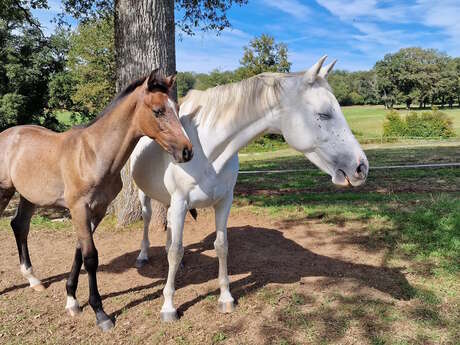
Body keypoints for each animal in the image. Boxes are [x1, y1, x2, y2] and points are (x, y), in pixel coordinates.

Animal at [0, 70, 192, 330]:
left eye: (177, 107)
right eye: (158, 111)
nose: (186, 151)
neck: (93, 154)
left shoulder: (97, 210)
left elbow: (79, 251)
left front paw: (72, 300)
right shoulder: (79, 208)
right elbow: (90, 257)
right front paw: (100, 313)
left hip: (29, 196)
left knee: (20, 226)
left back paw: (33, 279)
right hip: (4, 191)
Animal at [130, 56, 370, 320]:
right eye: (324, 114)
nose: (361, 167)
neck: (206, 150)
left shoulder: (223, 201)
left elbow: (221, 247)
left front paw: (225, 298)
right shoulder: (181, 202)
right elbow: (175, 251)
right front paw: (168, 307)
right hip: (145, 197)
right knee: (147, 220)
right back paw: (142, 256)